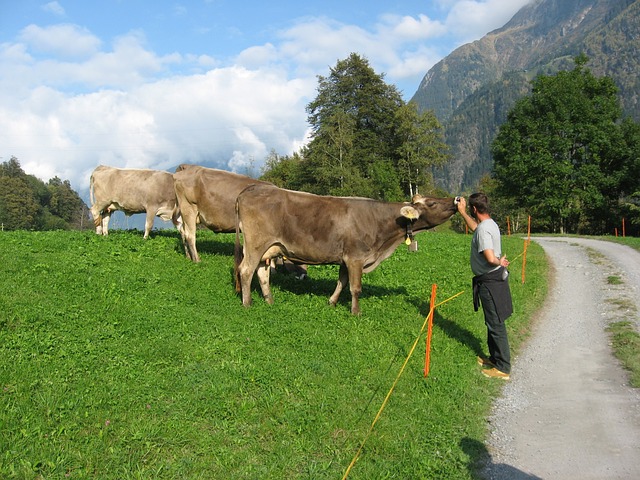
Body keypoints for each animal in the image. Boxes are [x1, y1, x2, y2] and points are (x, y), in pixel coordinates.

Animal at [235, 184, 460, 316]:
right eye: (432, 203)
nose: (456, 200)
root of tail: (253, 188)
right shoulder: (356, 258)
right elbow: (355, 287)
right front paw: (355, 312)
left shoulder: (345, 259)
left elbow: (341, 283)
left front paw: (332, 302)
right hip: (256, 243)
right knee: (245, 270)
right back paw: (247, 303)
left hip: (270, 248)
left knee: (262, 273)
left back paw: (269, 300)